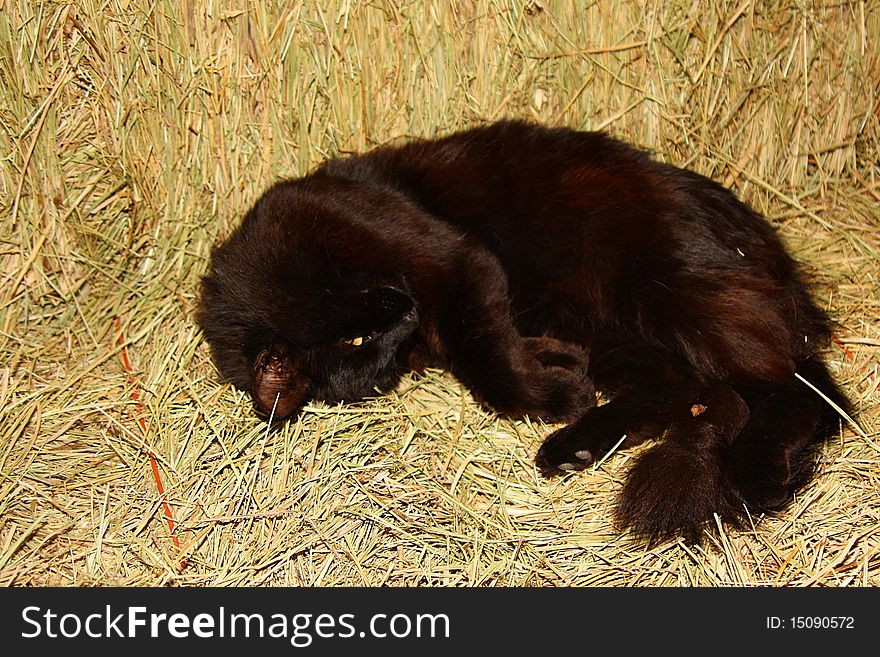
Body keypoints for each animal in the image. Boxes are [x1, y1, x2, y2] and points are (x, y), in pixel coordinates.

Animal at [196, 120, 848, 540]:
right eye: (365, 349)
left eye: (358, 333)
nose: (400, 308)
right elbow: (486, 353)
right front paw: (559, 374)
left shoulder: (455, 261)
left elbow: (490, 362)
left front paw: (553, 390)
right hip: (602, 322)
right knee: (690, 389)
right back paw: (577, 443)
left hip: (668, 292)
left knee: (791, 391)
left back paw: (755, 472)